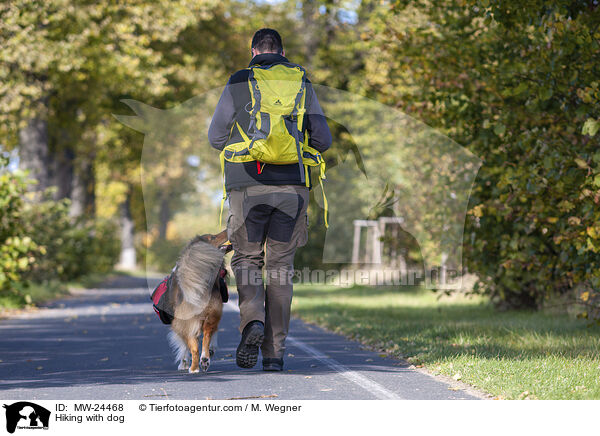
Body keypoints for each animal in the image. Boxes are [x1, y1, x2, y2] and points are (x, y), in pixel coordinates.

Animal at [166, 230, 232, 372]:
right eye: (212, 237)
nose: (227, 229)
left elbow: (184, 345)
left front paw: (183, 363)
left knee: (194, 346)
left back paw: (194, 367)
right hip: (210, 313)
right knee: (205, 337)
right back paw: (204, 360)